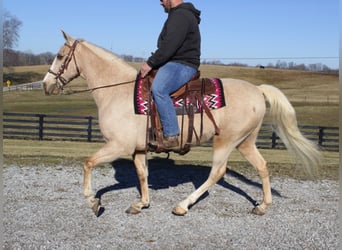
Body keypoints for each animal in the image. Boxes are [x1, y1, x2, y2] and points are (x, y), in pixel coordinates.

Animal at [42, 30, 320, 216]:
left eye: (60, 56)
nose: (46, 85)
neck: (118, 92)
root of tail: (257, 90)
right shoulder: (137, 149)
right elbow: (142, 173)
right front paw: (141, 203)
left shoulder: (118, 146)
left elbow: (88, 163)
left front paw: (93, 201)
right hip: (245, 142)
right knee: (262, 167)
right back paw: (262, 205)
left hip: (225, 141)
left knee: (216, 173)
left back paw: (182, 205)